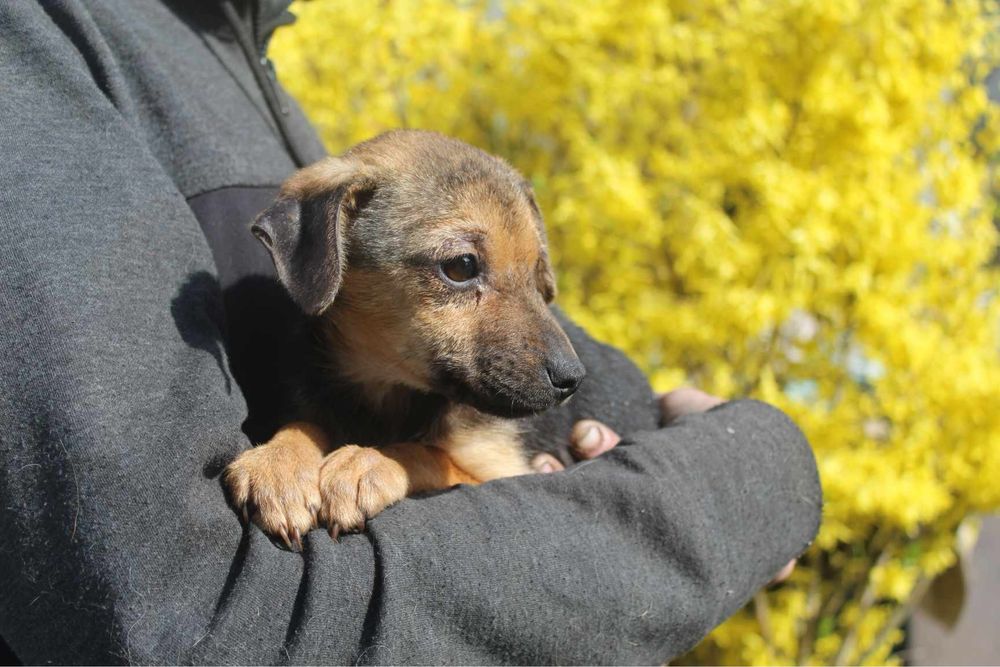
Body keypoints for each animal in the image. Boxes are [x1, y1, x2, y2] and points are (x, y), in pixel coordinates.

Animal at [225, 129, 584, 548]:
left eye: (538, 275)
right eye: (461, 266)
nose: (573, 379)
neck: (387, 390)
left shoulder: (502, 467)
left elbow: (427, 453)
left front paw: (365, 463)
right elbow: (306, 424)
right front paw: (278, 465)